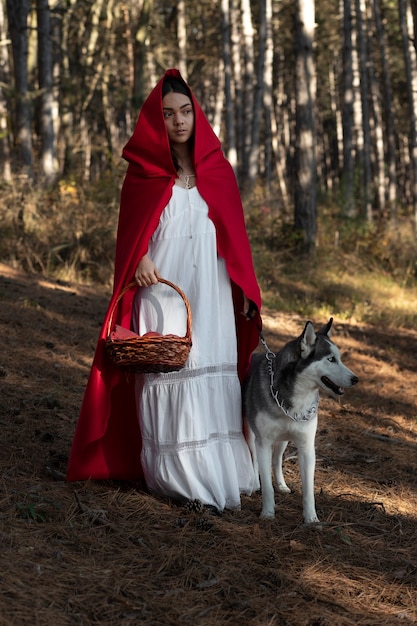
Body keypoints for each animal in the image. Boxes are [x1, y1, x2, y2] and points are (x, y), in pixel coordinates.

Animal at [244, 316, 358, 520]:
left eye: (339, 358)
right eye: (331, 359)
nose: (355, 379)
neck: (297, 398)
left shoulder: (306, 446)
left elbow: (308, 489)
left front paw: (311, 518)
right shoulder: (263, 441)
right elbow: (267, 486)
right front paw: (268, 513)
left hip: (284, 440)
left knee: (277, 460)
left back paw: (281, 484)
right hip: (251, 434)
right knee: (255, 458)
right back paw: (255, 484)